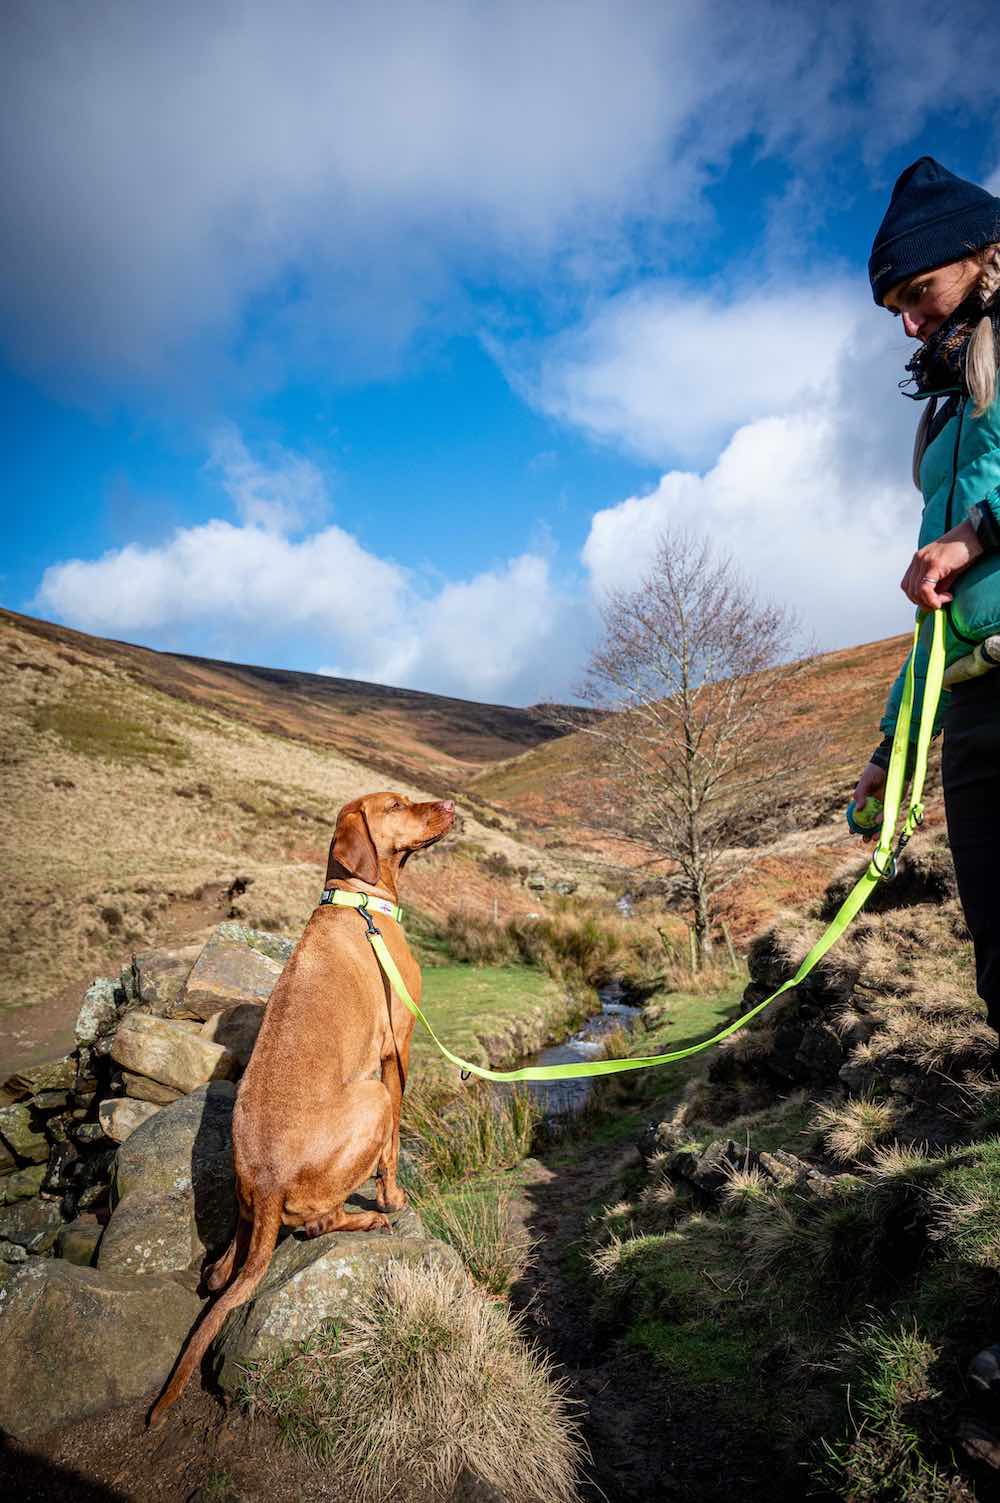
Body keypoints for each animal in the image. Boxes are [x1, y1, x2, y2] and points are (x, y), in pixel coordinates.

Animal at [148, 793, 451, 1424]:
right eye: (396, 804)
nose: (450, 804)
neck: (358, 902)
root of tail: (265, 1184)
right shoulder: (398, 1048)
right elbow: (393, 1146)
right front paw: (393, 1196)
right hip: (371, 1098)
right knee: (318, 1224)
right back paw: (368, 1217)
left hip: (245, 1205)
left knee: (227, 1263)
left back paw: (225, 1263)